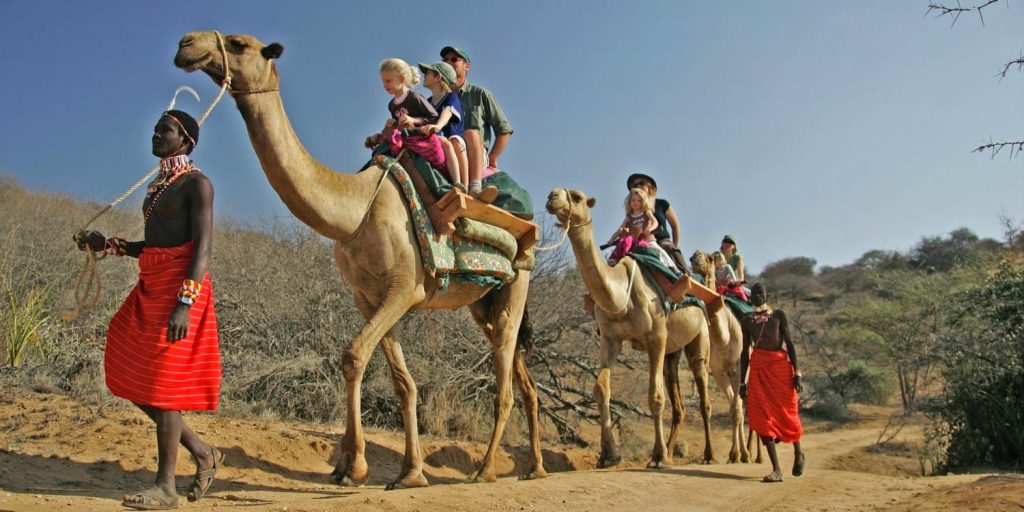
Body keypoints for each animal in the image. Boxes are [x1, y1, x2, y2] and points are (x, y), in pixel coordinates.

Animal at [173, 31, 547, 487]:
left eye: (238, 43)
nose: (188, 44)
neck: (356, 211)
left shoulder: (405, 287)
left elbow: (353, 355)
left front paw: (357, 467)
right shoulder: (369, 296)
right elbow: (399, 381)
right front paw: (404, 472)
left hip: (517, 282)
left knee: (505, 383)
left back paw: (486, 470)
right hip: (483, 302)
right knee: (522, 376)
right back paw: (535, 467)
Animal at [545, 188, 714, 468]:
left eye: (577, 197)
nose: (552, 196)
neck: (620, 291)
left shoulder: (656, 336)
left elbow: (655, 397)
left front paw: (658, 457)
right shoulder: (610, 338)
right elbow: (601, 390)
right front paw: (609, 455)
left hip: (700, 336)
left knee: (703, 392)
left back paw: (709, 455)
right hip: (672, 351)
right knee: (678, 402)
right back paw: (672, 451)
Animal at [689, 250, 751, 463]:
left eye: (709, 258)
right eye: (693, 257)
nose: (695, 258)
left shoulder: (739, 366)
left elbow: (736, 411)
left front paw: (739, 454)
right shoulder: (718, 370)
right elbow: (734, 410)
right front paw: (734, 454)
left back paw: (750, 454)